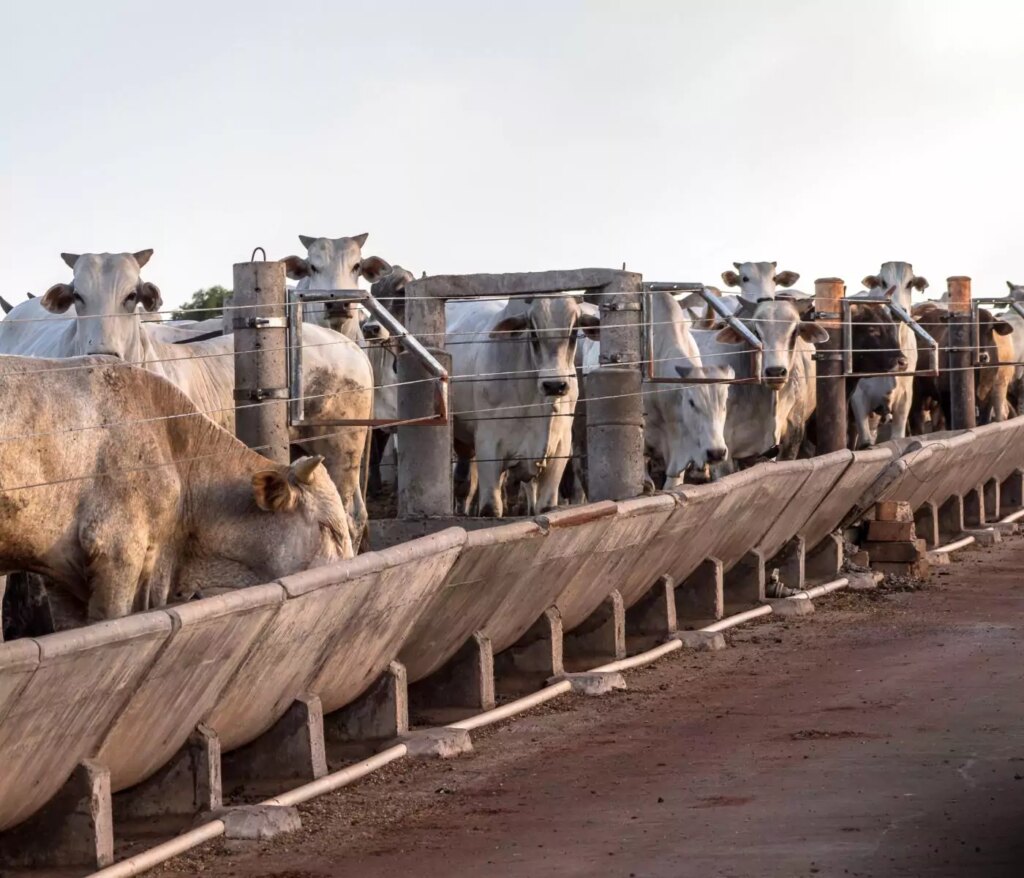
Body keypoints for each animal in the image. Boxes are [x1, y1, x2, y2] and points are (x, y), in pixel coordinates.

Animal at [0, 249, 376, 549]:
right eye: (78, 296)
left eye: (131, 295)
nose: (103, 353)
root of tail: (350, 346)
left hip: (342, 444)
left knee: (350, 515)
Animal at [444, 297, 598, 514]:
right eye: (532, 331)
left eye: (574, 331)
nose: (554, 385)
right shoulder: (488, 445)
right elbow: (490, 508)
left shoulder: (561, 447)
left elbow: (546, 506)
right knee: (464, 484)